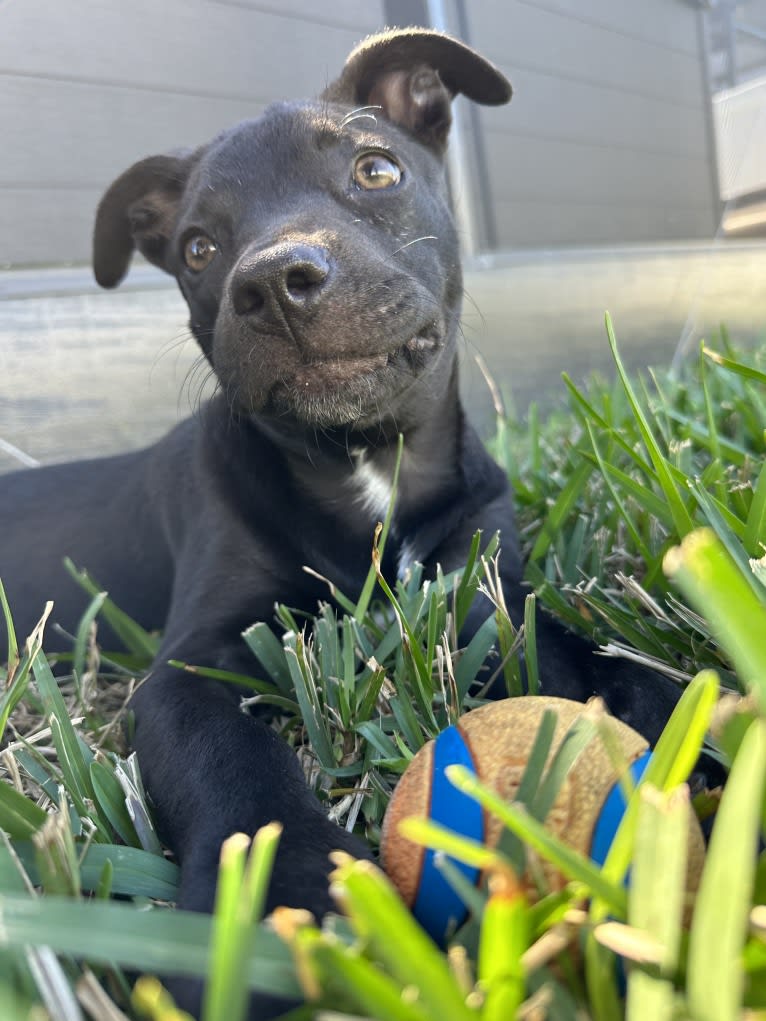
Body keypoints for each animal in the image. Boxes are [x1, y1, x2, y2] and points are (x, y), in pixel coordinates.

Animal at [0, 27, 682, 1016]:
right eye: (198, 246)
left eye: (375, 170)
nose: (276, 282)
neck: (363, 464)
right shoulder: (185, 671)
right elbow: (230, 757)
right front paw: (281, 906)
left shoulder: (477, 581)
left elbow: (571, 650)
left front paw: (684, 727)